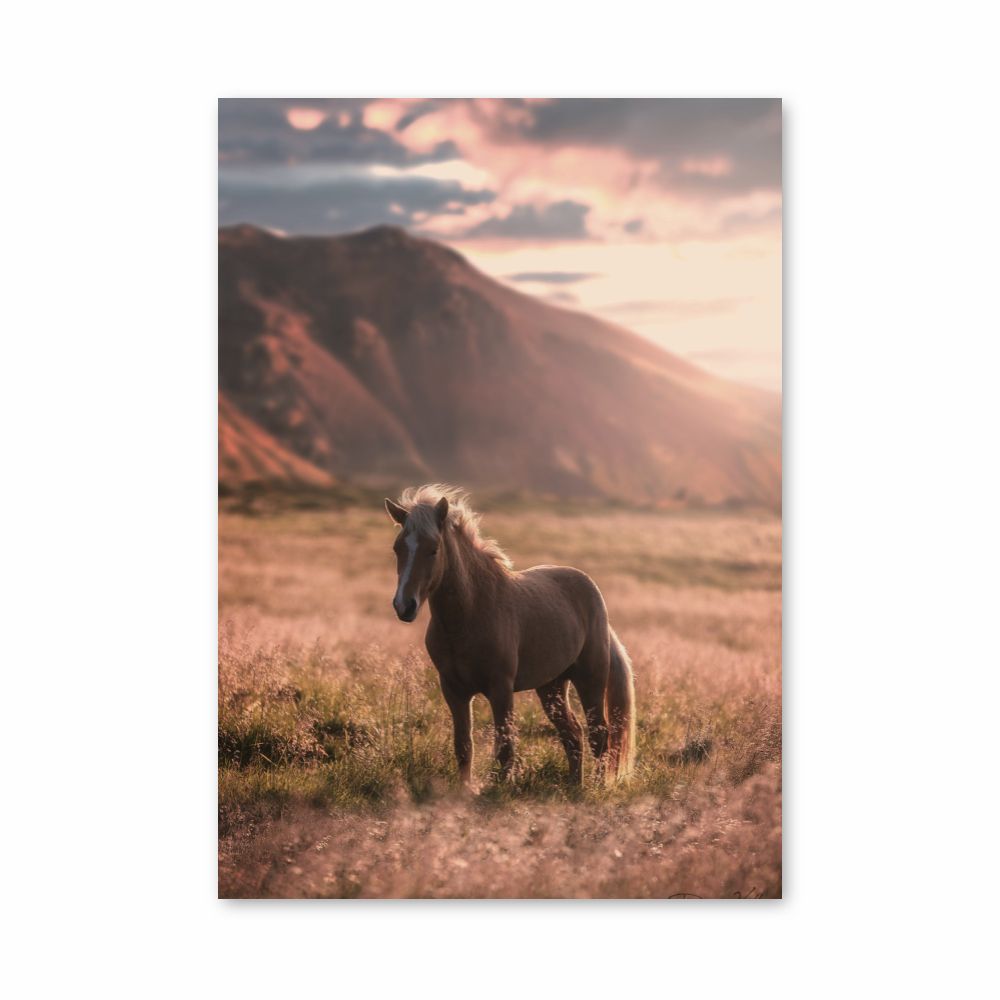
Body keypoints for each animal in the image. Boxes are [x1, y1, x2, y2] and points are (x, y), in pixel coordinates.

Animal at [384, 484, 635, 787]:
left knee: (599, 734)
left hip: (590, 680)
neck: (470, 614)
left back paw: (596, 787)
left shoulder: (500, 689)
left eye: (433, 550)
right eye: (398, 548)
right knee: (573, 734)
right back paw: (575, 784)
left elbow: (505, 748)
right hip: (551, 687)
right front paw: (465, 790)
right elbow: (463, 746)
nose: (404, 605)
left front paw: (499, 789)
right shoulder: (454, 690)